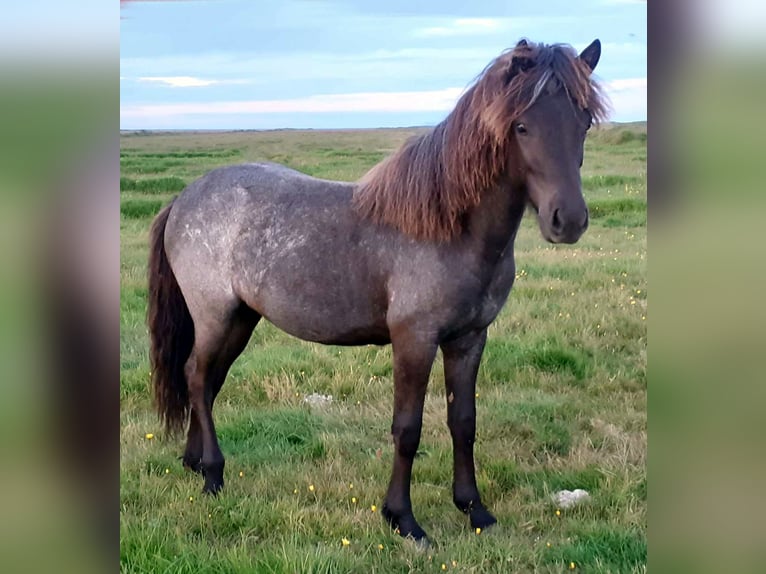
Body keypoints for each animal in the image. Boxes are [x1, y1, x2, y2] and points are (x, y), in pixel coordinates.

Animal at [147, 39, 608, 544]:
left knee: (207, 382)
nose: (568, 220)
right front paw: (403, 519)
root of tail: (184, 198)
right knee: (195, 375)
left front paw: (474, 508)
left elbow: (463, 422)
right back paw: (212, 473)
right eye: (522, 126)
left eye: (584, 123)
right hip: (215, 315)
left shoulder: (469, 339)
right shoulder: (414, 341)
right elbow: (407, 429)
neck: (450, 227)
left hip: (241, 319)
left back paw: (193, 463)